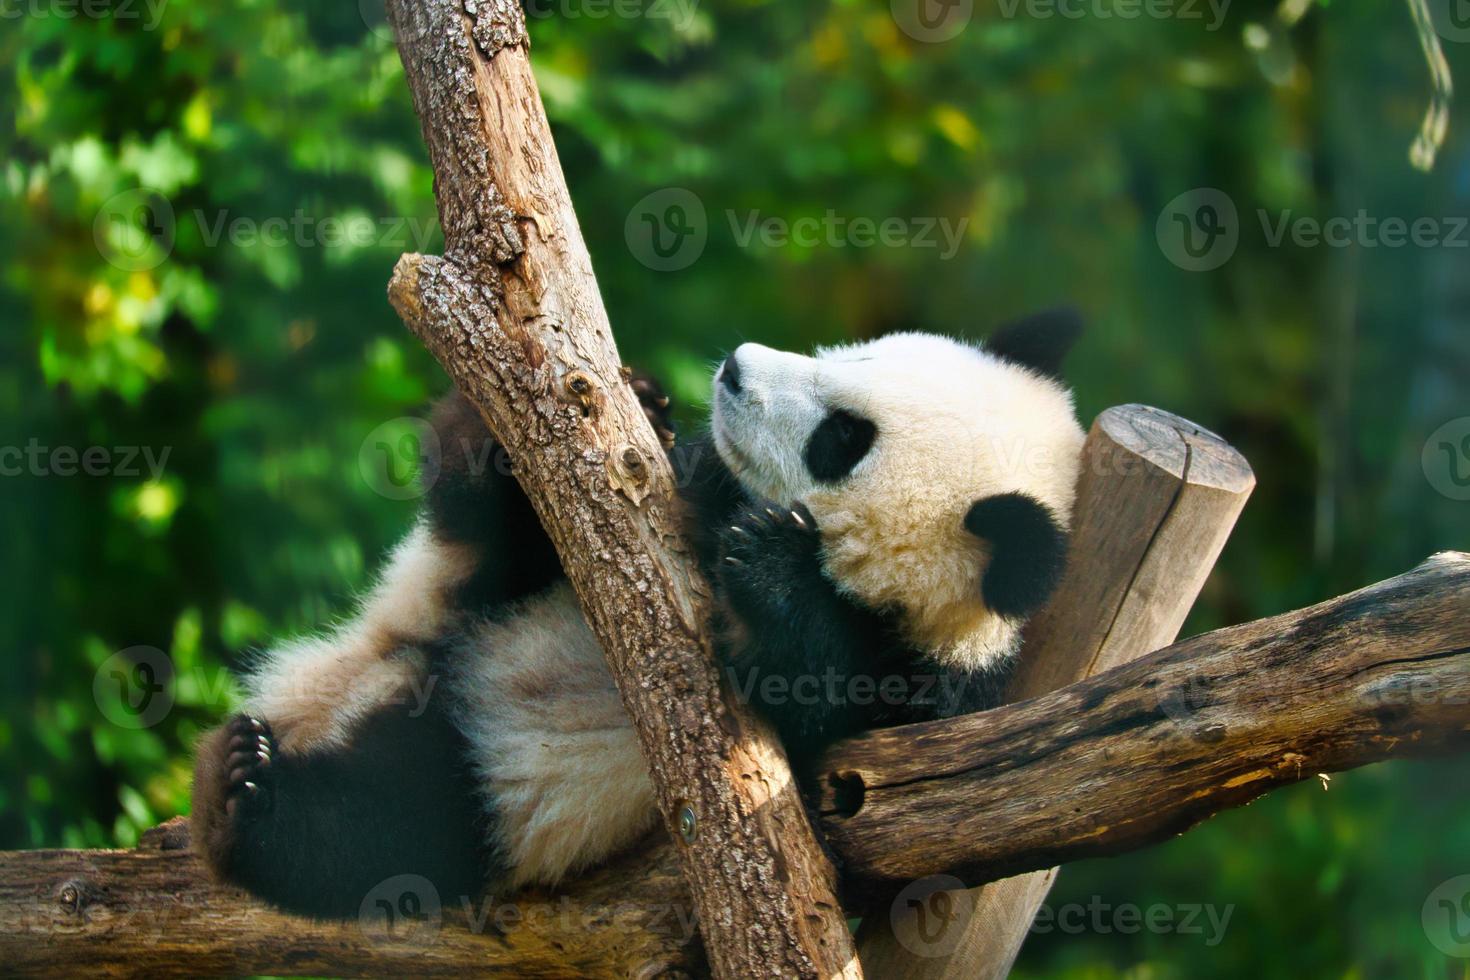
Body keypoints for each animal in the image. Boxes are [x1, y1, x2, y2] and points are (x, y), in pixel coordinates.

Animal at [189, 314, 1087, 922]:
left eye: (843, 438)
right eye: (862, 354)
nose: (735, 369)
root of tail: (375, 674)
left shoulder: (921, 693)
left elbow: (813, 699)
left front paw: (773, 560)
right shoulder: (675, 492)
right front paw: (645, 404)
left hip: (487, 782)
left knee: (384, 829)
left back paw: (240, 798)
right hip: (460, 603)